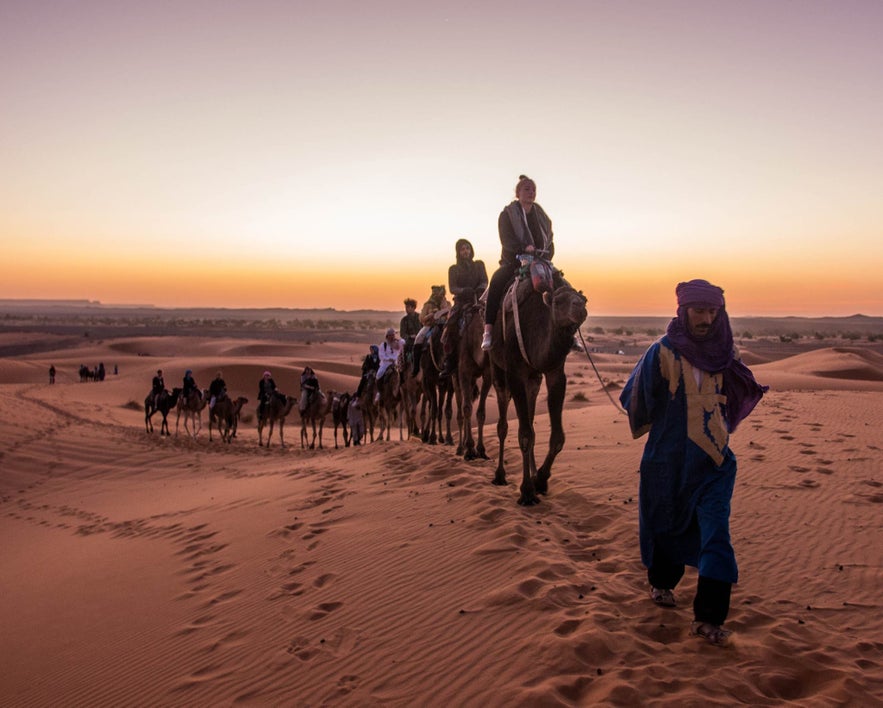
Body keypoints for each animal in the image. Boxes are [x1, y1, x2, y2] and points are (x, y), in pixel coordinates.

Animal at [452, 302, 494, 460]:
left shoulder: (488, 374)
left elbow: (481, 412)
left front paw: (480, 449)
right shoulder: (464, 372)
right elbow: (467, 409)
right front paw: (470, 449)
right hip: (455, 377)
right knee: (460, 409)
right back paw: (460, 447)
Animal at [490, 262, 588, 506]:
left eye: (584, 299)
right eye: (558, 301)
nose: (580, 308)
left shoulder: (555, 371)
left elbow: (557, 437)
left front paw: (540, 480)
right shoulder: (515, 372)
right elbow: (524, 434)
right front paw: (526, 491)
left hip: (533, 379)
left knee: (532, 418)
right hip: (497, 367)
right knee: (503, 421)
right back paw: (500, 475)